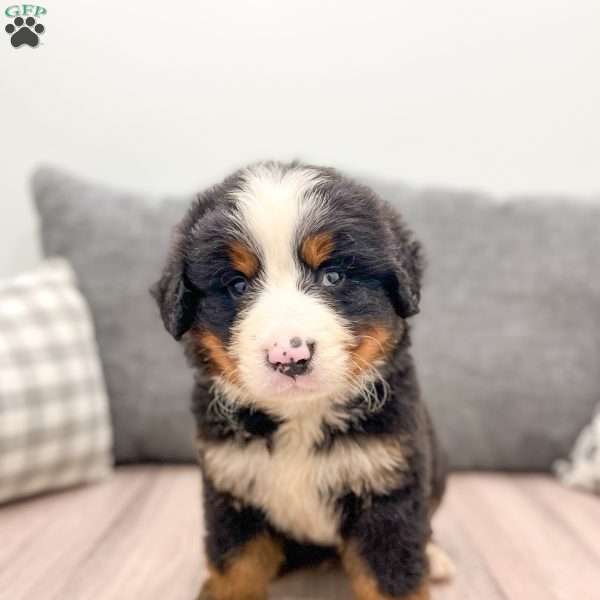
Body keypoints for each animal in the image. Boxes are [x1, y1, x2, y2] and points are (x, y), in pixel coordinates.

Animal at [152, 161, 452, 600]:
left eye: (333, 276)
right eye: (237, 285)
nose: (289, 356)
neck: (301, 418)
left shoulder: (388, 489)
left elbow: (392, 578)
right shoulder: (232, 488)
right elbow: (236, 568)